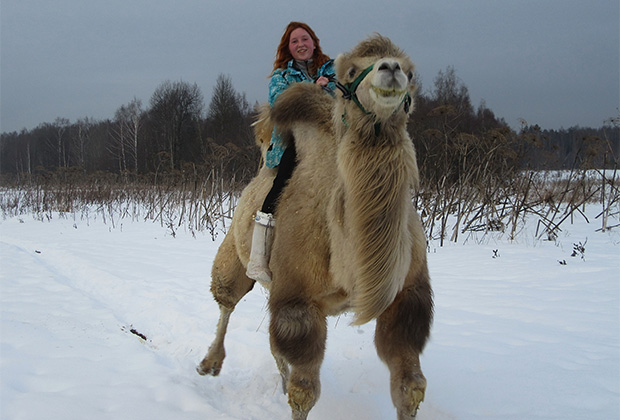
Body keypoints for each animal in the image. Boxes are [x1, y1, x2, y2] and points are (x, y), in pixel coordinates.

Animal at [197, 34, 432, 418]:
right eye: (350, 70)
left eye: (411, 72)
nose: (391, 70)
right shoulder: (297, 300)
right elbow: (304, 391)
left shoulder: (408, 297)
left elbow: (410, 386)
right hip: (235, 251)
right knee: (226, 299)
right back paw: (209, 363)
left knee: (273, 345)